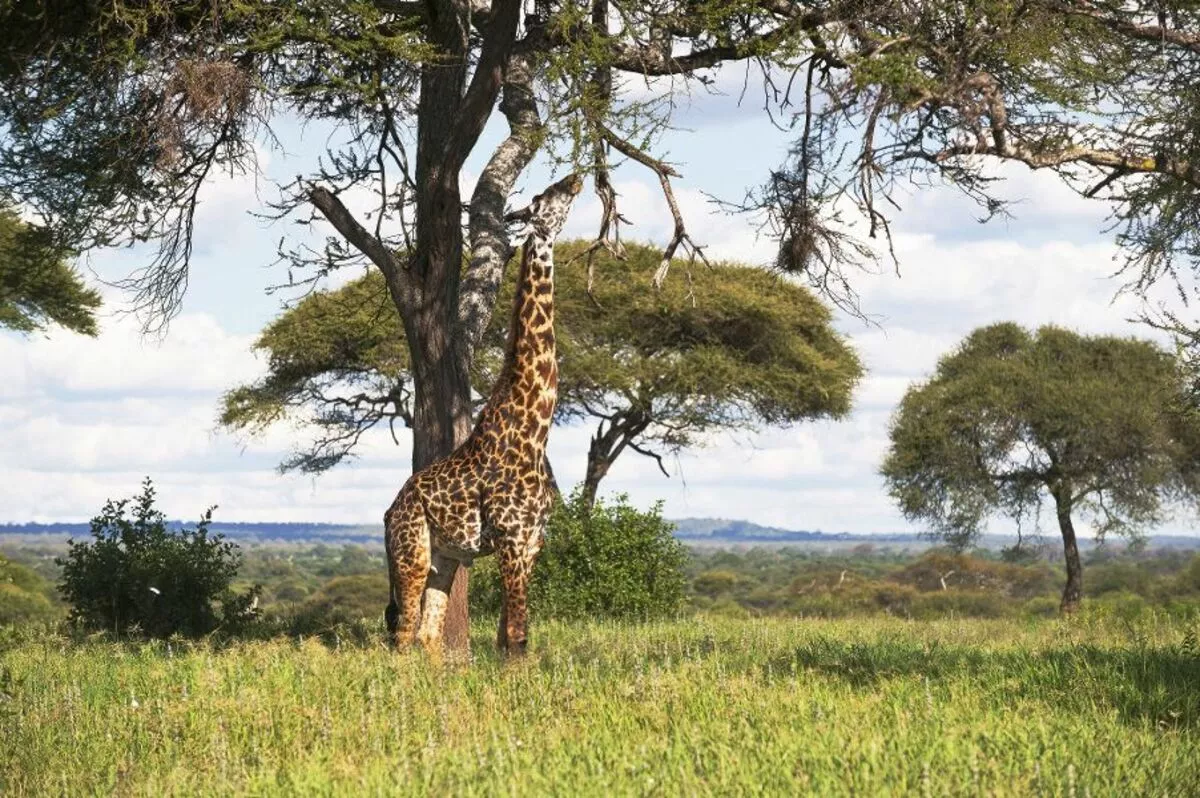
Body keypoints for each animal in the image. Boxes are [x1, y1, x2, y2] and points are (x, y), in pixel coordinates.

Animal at [383, 172, 583, 657]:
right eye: (544, 196)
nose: (574, 178)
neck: (536, 427)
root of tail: (389, 511)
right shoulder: (511, 537)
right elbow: (516, 636)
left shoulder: (533, 541)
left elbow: (511, 636)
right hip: (411, 553)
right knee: (402, 634)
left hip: (446, 557)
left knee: (428, 634)